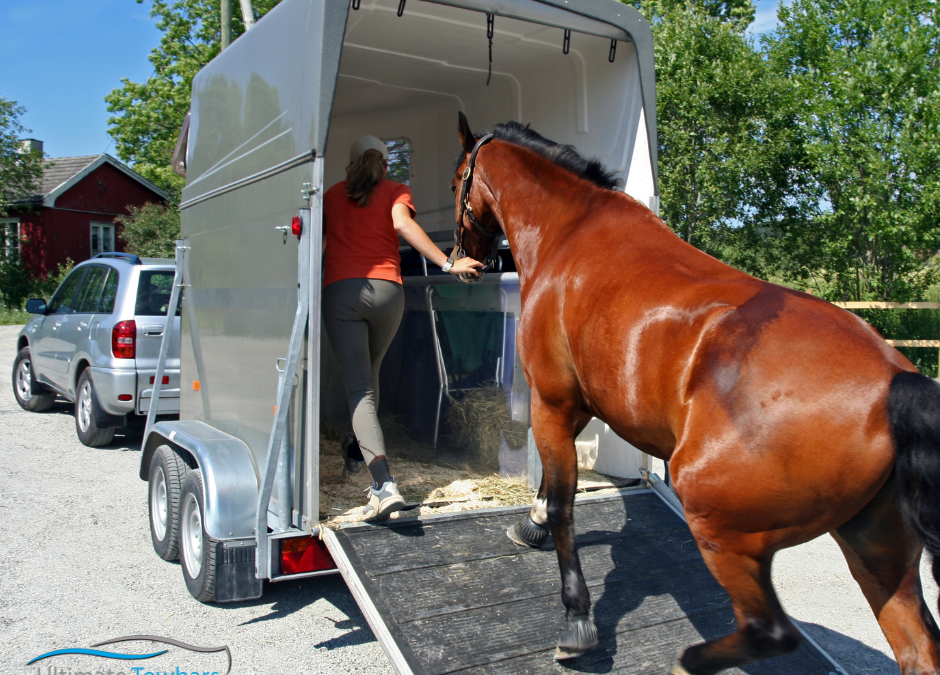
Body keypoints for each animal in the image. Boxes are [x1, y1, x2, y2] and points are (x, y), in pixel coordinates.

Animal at [448, 113, 940, 672]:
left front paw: (576, 618)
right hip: (878, 552)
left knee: (769, 631)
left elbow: (562, 505)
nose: (463, 259)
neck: (571, 232)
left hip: (723, 529)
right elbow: (551, 491)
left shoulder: (552, 400)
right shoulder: (582, 401)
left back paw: (688, 660)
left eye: (456, 181)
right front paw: (528, 526)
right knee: (917, 649)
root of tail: (897, 380)